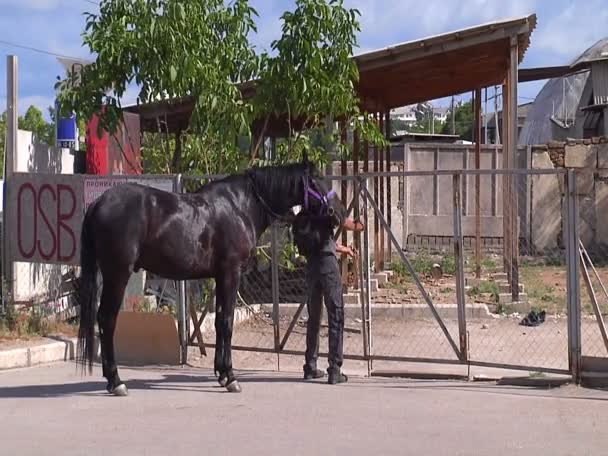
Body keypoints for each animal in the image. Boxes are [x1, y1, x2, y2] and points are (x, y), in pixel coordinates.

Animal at [77, 155, 338, 394]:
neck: (240, 206)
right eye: (316, 179)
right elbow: (227, 322)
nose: (336, 211)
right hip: (117, 274)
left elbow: (221, 320)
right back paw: (116, 381)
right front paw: (231, 377)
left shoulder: (220, 276)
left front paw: (221, 374)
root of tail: (98, 203)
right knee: (107, 319)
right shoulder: (231, 273)